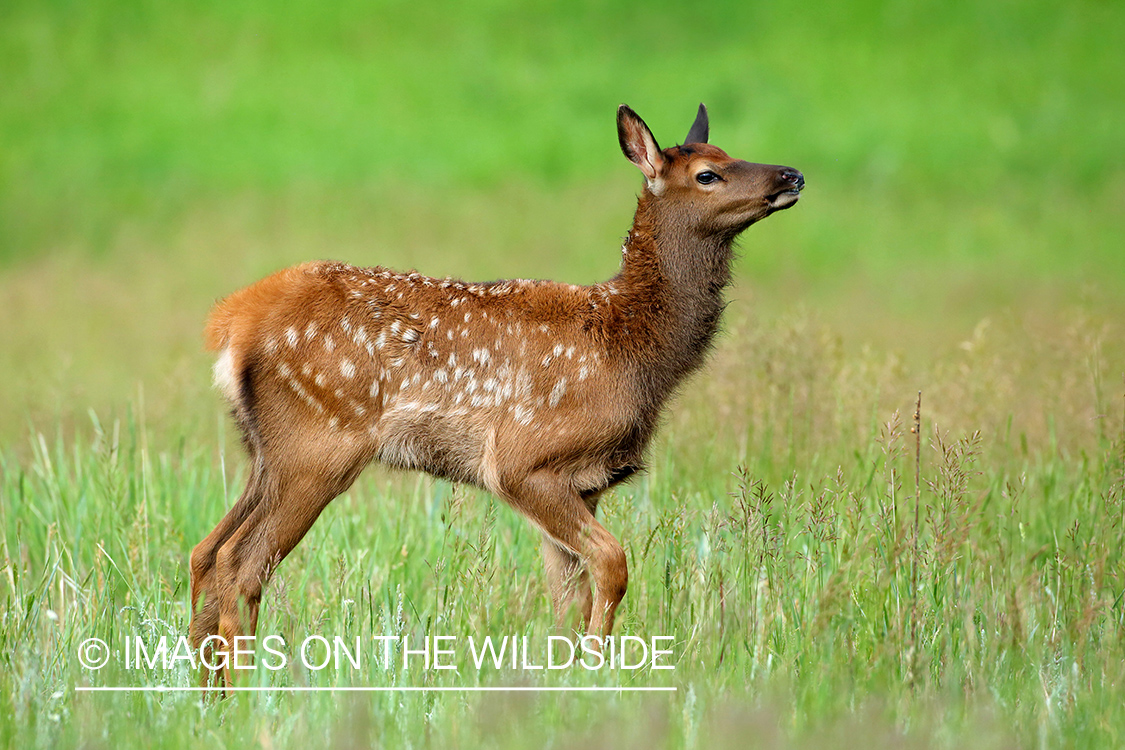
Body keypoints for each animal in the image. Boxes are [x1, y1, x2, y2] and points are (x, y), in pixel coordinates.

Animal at [191, 102, 801, 683]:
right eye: (707, 174)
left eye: (727, 152)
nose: (792, 174)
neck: (631, 349)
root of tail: (232, 322)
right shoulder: (520, 460)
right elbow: (613, 566)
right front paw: (598, 677)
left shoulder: (585, 484)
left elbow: (567, 602)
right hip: (318, 446)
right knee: (241, 564)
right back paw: (244, 697)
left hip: (266, 453)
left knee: (206, 552)